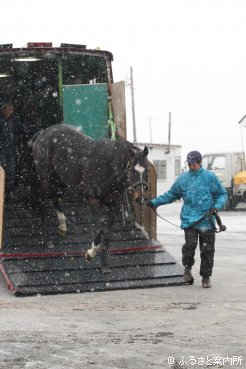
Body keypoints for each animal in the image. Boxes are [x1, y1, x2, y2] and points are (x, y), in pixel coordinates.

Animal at [31, 123, 150, 268]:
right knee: (43, 202)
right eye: (132, 171)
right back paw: (47, 240)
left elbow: (107, 232)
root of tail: (43, 133)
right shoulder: (93, 201)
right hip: (45, 178)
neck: (108, 167)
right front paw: (90, 253)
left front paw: (104, 263)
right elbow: (99, 228)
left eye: (147, 170)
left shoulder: (113, 204)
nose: (141, 198)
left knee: (54, 198)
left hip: (59, 178)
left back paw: (62, 227)